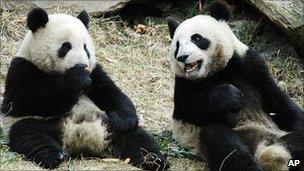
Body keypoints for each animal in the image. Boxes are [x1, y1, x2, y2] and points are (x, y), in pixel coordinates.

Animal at [0, 7, 169, 170]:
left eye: (85, 47)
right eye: (66, 46)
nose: (81, 64)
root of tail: (82, 139)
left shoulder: (95, 73)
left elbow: (112, 93)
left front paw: (124, 120)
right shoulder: (22, 68)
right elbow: (25, 101)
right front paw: (76, 79)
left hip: (108, 123)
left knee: (138, 139)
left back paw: (153, 160)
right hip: (32, 124)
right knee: (31, 136)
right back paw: (54, 156)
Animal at [166, 1, 304, 171]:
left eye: (196, 38)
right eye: (177, 45)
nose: (182, 57)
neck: (215, 71)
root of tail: (263, 146)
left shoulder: (250, 65)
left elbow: (276, 98)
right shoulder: (184, 83)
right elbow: (187, 109)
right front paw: (230, 97)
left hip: (281, 136)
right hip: (237, 137)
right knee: (222, 141)